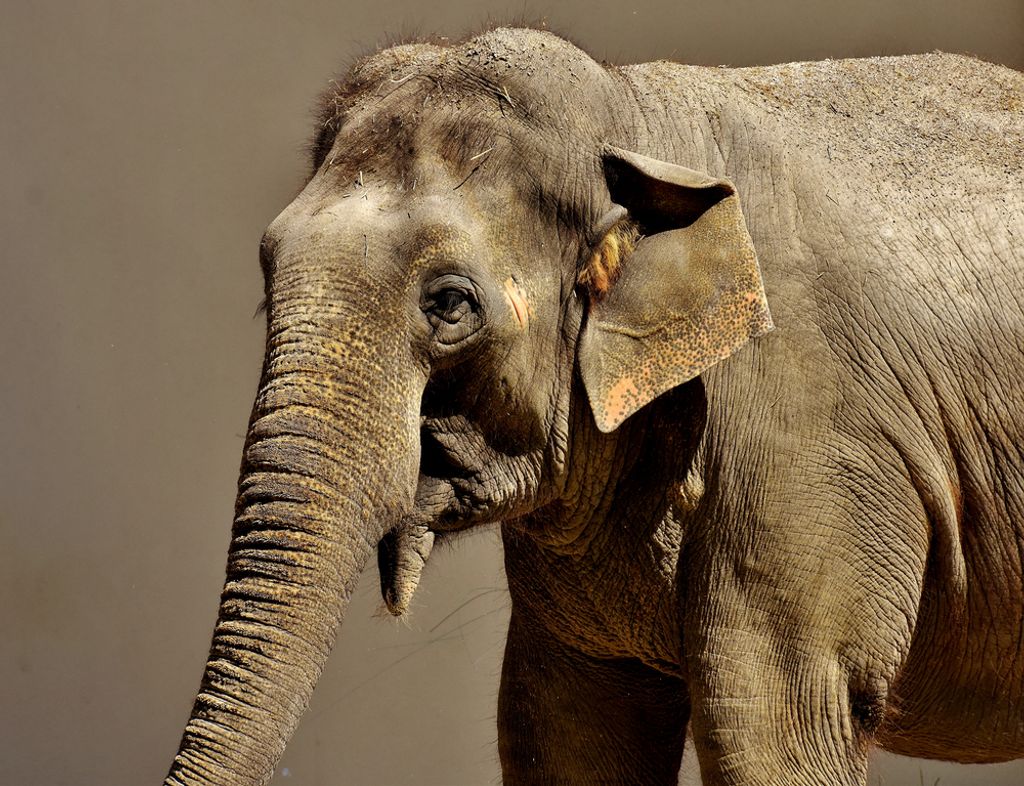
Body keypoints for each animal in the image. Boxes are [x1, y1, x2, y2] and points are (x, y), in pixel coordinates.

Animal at [165, 26, 1024, 786]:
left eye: (450, 305)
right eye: (266, 270)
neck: (635, 119)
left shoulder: (812, 443)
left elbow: (776, 729)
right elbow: (566, 729)